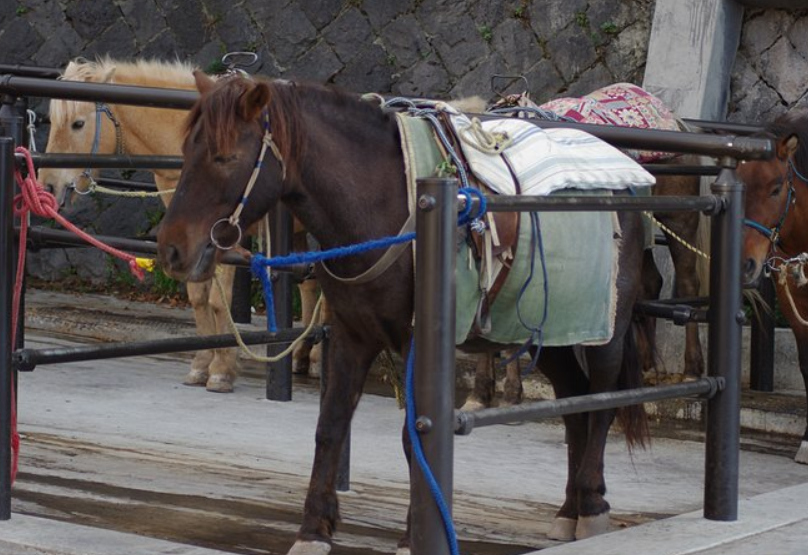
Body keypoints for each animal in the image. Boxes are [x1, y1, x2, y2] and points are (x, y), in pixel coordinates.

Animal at [38, 57, 318, 390]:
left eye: (78, 124)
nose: (48, 186)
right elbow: (197, 297)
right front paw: (202, 364)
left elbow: (217, 301)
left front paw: (222, 370)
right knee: (312, 285)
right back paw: (302, 355)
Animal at [156, 71, 652, 552]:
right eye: (186, 151)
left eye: (224, 157)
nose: (172, 249)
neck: (383, 202)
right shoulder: (351, 334)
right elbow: (330, 426)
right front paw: (313, 530)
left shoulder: (418, 341)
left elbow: (414, 439)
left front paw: (413, 539)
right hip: (550, 331)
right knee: (574, 405)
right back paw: (568, 510)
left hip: (607, 327)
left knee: (602, 403)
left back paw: (591, 507)